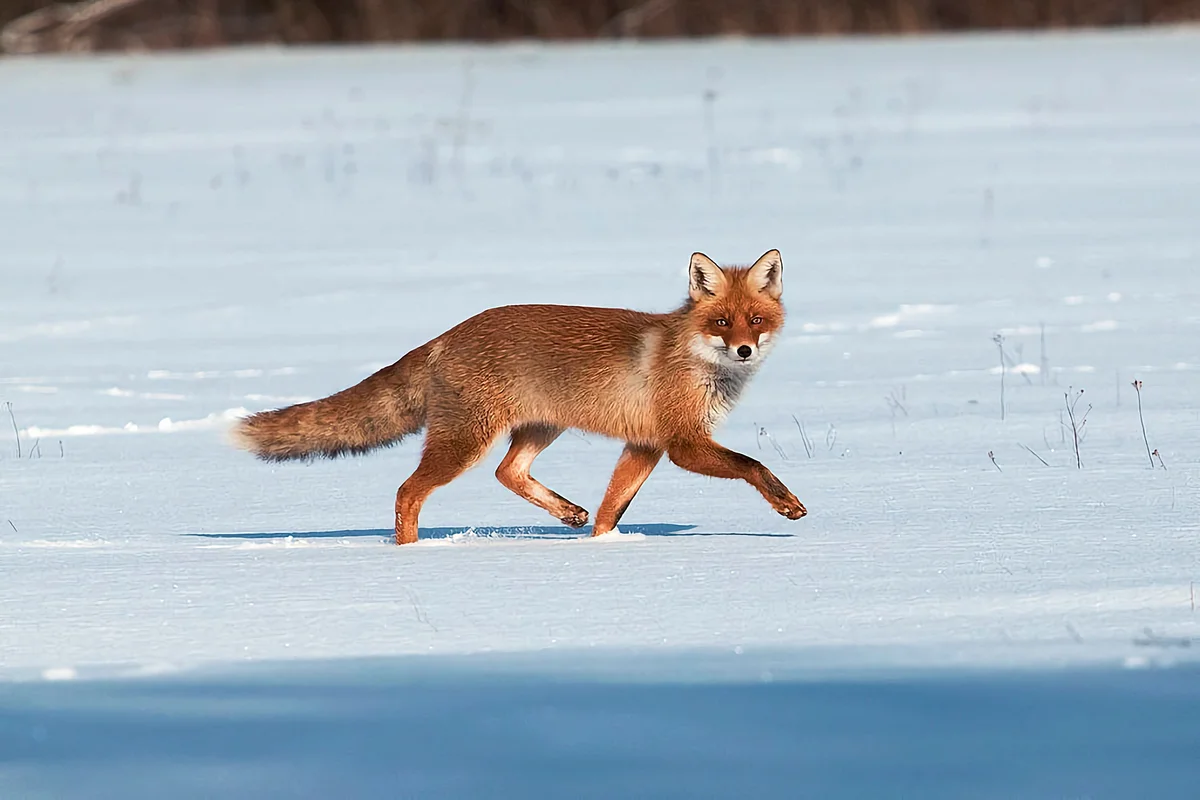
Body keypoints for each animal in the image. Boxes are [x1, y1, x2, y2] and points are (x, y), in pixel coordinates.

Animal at [228, 250, 806, 544]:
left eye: (755, 320)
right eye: (721, 322)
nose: (744, 350)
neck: (694, 359)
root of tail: (444, 336)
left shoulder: (646, 444)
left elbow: (611, 509)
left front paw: (604, 547)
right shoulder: (681, 443)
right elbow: (753, 464)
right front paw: (786, 504)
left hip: (539, 427)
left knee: (508, 472)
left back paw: (566, 513)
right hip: (465, 442)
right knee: (408, 491)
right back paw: (409, 554)